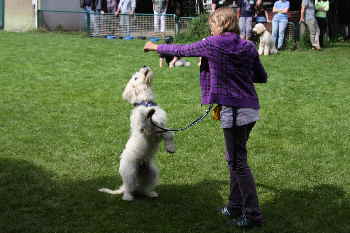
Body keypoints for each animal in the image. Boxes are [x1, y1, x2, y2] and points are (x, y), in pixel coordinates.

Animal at [98, 65, 175, 200]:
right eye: (135, 77)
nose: (144, 65)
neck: (146, 102)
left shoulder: (161, 129)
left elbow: (168, 134)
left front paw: (170, 148)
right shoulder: (146, 130)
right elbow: (145, 119)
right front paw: (146, 113)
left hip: (152, 173)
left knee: (143, 188)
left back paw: (150, 193)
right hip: (129, 171)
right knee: (129, 188)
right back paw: (128, 197)